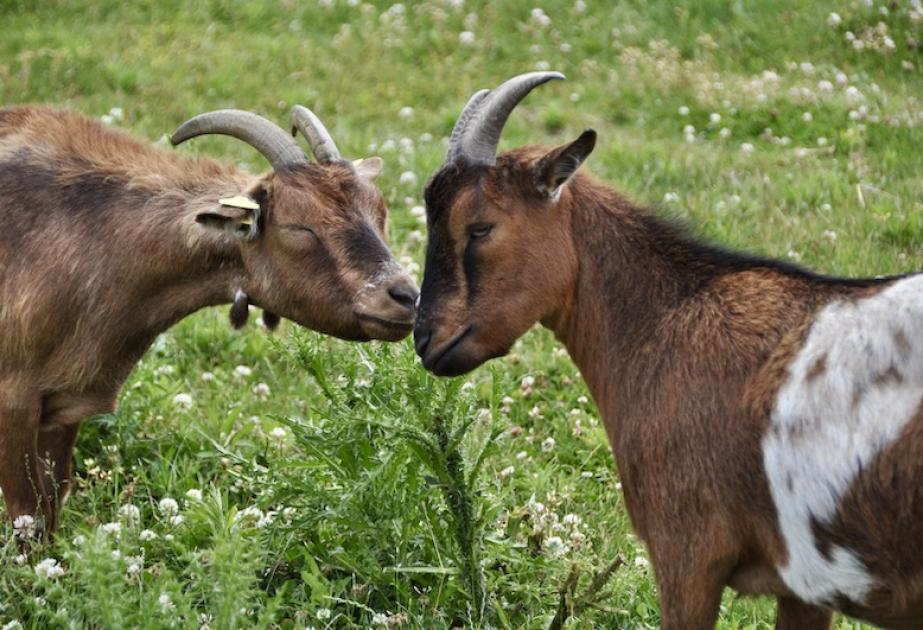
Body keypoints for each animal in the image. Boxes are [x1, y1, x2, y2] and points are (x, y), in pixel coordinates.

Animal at [0, 105, 416, 540]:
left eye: (380, 213)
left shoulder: (64, 405)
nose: (404, 296)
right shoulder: (14, 398)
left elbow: (52, 505)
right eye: (299, 226)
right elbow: (29, 516)